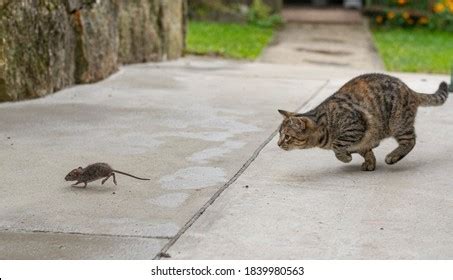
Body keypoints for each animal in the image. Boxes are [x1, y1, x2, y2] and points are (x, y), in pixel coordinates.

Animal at [278, 73, 446, 171]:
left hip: (398, 123)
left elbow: (337, 146)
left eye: (287, 137)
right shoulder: (362, 140)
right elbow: (366, 151)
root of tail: (409, 90)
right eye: (279, 135)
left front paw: (346, 157)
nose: (278, 144)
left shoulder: (355, 126)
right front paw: (370, 163)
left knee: (410, 140)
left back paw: (393, 156)